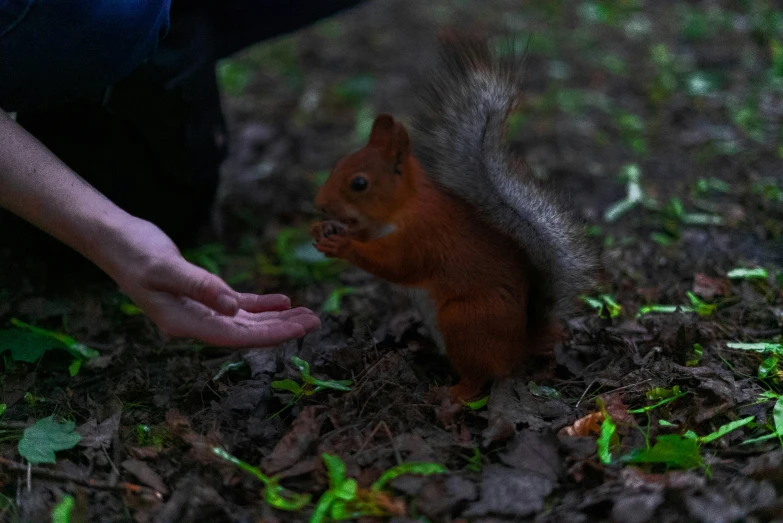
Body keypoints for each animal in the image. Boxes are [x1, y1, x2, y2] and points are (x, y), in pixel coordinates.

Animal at [310, 31, 596, 402]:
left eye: (359, 183)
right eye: (338, 163)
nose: (319, 204)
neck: (404, 205)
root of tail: (518, 348)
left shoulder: (424, 236)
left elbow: (397, 265)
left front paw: (343, 245)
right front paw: (325, 229)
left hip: (464, 320)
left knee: (479, 377)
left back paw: (451, 394)